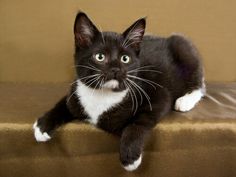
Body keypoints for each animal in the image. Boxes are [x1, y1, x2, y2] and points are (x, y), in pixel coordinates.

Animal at [32, 11, 205, 171]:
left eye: (125, 59)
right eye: (100, 56)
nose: (115, 69)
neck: (103, 94)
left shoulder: (158, 94)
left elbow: (138, 122)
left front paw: (130, 156)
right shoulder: (76, 93)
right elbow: (64, 103)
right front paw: (42, 126)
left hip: (183, 48)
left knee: (200, 83)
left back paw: (185, 101)